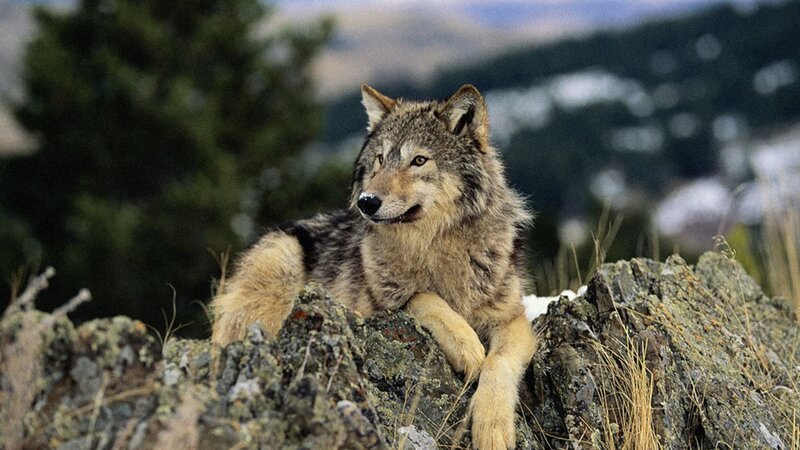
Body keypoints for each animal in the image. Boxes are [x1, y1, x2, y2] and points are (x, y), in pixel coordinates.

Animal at [211, 84, 538, 450]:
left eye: (418, 160)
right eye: (381, 159)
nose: (366, 202)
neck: (435, 248)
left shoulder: (512, 320)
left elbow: (499, 364)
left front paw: (493, 428)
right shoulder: (383, 303)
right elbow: (424, 299)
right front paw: (467, 347)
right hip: (281, 262)